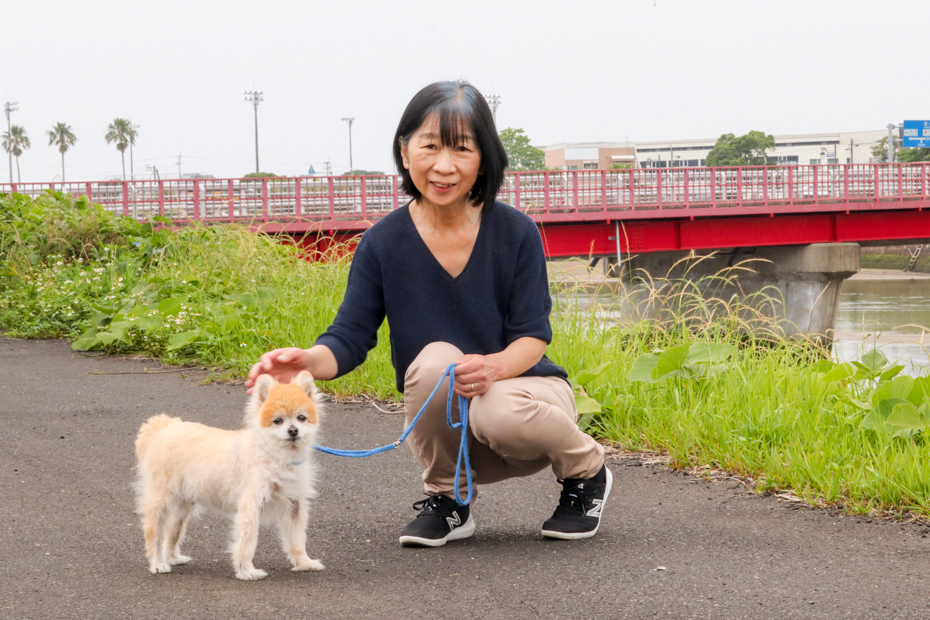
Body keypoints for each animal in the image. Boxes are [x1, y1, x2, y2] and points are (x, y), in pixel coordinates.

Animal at [134, 370, 322, 580]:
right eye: (278, 421)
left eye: (301, 418)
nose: (293, 431)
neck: (275, 456)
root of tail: (163, 428)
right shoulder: (251, 506)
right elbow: (247, 542)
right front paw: (247, 571)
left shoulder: (294, 506)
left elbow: (297, 539)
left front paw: (304, 563)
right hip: (161, 501)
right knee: (154, 533)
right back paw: (158, 563)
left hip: (184, 504)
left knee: (173, 531)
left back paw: (173, 558)